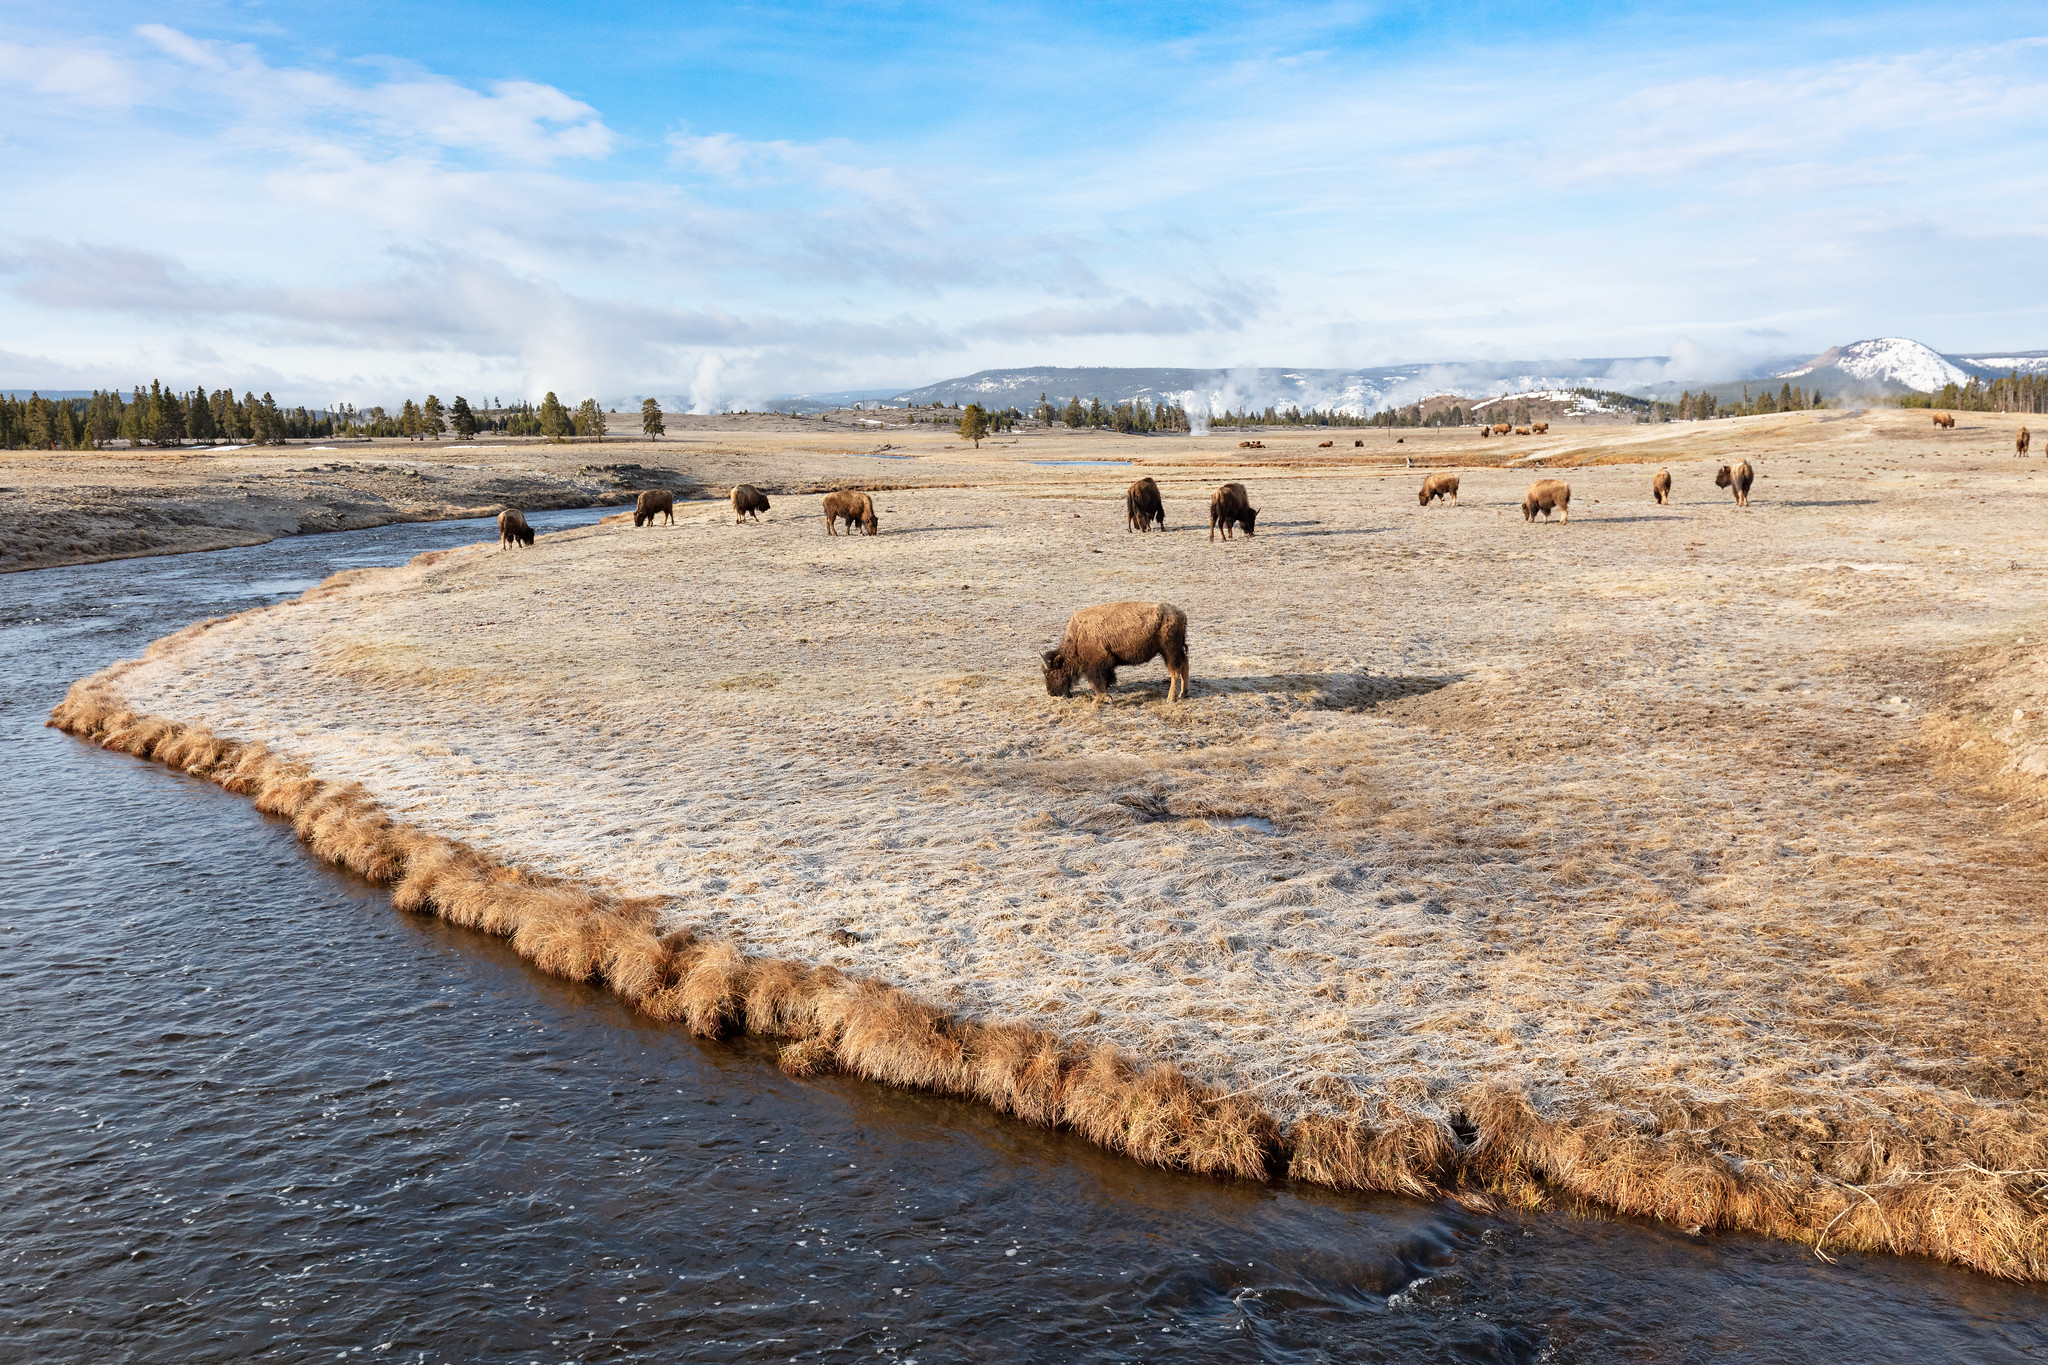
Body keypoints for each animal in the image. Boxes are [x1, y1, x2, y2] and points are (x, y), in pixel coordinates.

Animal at [1048, 601, 1196, 703]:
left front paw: (1105, 698)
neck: (1078, 636)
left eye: (1053, 673)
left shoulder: (1099, 662)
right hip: (1175, 650)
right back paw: (1183, 693)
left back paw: (1171, 698)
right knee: (1185, 664)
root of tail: (1181, 613)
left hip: (1169, 650)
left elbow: (1094, 682)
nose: (1051, 693)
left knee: (1175, 671)